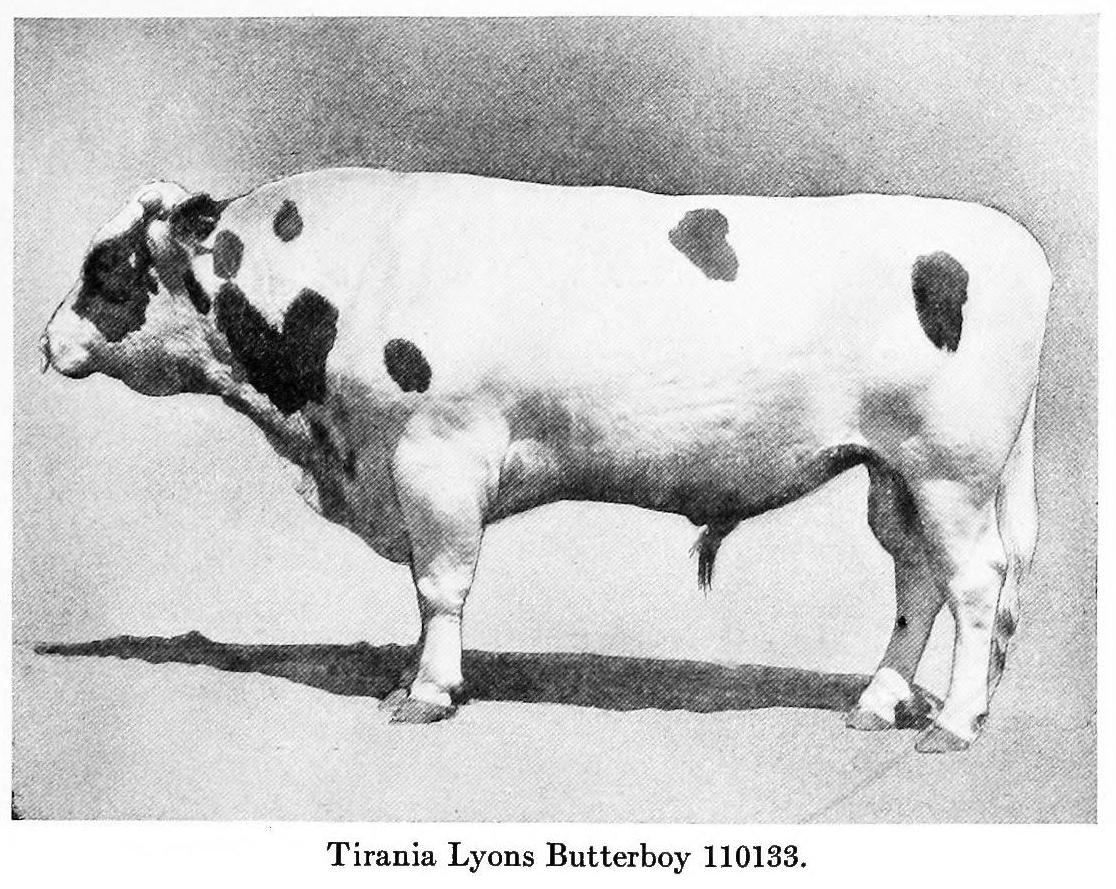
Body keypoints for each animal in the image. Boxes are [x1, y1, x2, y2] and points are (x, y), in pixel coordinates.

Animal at [41, 168, 1050, 752]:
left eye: (106, 267)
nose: (46, 342)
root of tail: (1017, 243)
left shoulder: (439, 453)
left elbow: (440, 583)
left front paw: (428, 691)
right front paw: (414, 675)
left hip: (952, 470)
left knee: (976, 582)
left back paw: (953, 723)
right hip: (894, 471)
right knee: (916, 578)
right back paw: (879, 701)